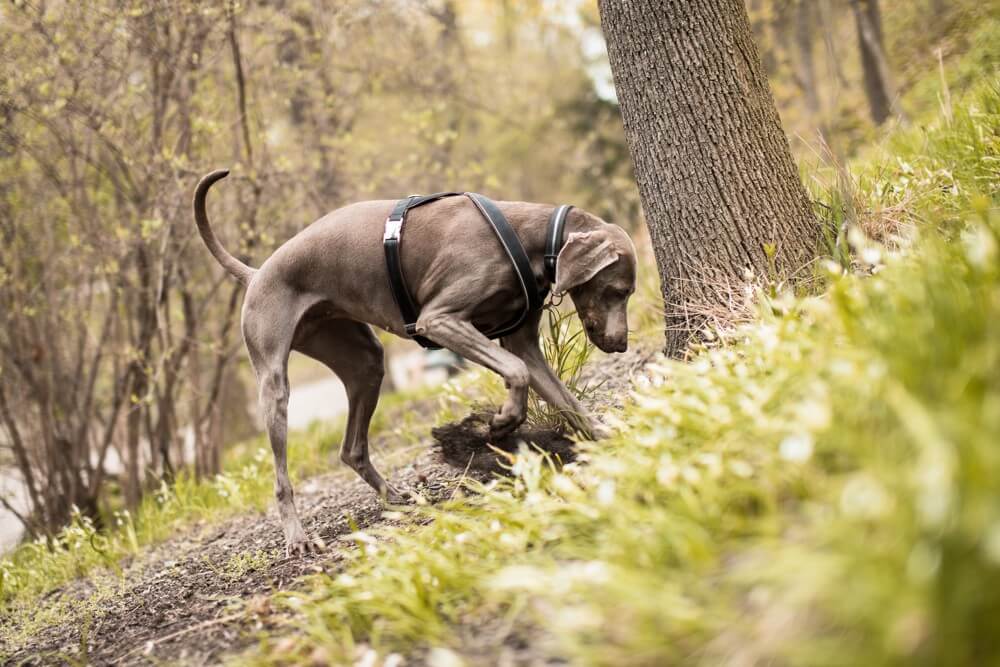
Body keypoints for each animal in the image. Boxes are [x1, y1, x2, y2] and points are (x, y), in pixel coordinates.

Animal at [191, 170, 636, 556]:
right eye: (618, 290)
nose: (621, 345)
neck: (529, 239)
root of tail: (256, 273)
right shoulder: (439, 319)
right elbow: (516, 371)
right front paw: (503, 421)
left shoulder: (521, 341)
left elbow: (566, 401)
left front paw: (608, 441)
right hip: (274, 381)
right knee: (282, 474)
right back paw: (298, 537)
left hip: (362, 361)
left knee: (352, 448)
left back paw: (395, 497)